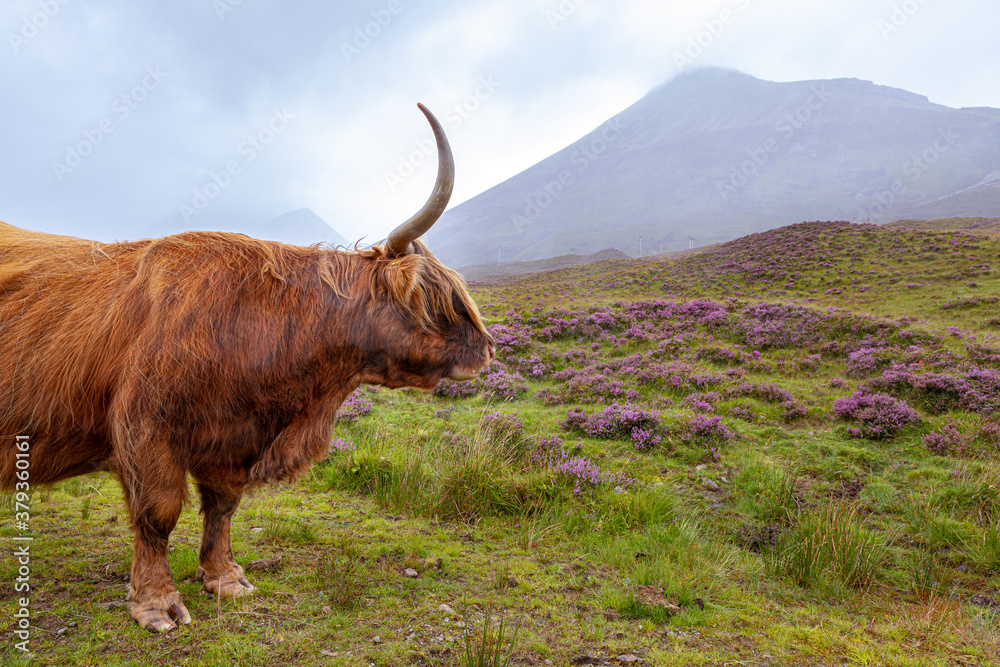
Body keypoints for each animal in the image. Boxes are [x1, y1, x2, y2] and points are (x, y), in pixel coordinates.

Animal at [0, 104, 494, 632]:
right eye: (437, 301)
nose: (487, 350)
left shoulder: (233, 437)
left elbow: (222, 508)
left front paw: (224, 578)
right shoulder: (145, 429)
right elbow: (158, 513)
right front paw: (156, 602)